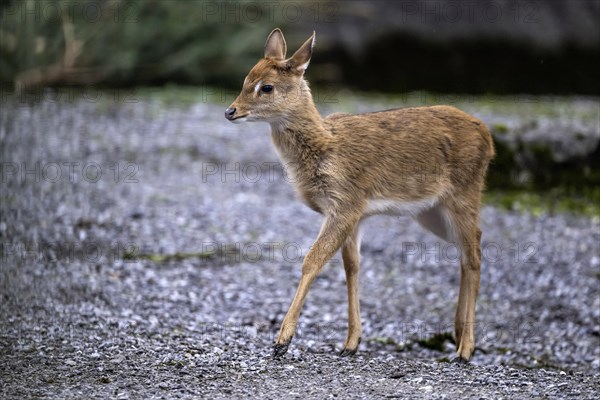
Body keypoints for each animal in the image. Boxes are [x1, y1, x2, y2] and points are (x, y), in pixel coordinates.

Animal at [223, 27, 494, 360]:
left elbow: (311, 261)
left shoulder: (345, 204)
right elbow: (351, 267)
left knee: (473, 254)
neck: (326, 149)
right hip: (430, 212)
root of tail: (488, 137)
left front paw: (282, 342)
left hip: (463, 193)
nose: (230, 111)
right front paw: (351, 343)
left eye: (267, 87)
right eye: (246, 79)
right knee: (468, 248)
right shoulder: (354, 213)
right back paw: (458, 336)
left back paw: (465, 349)